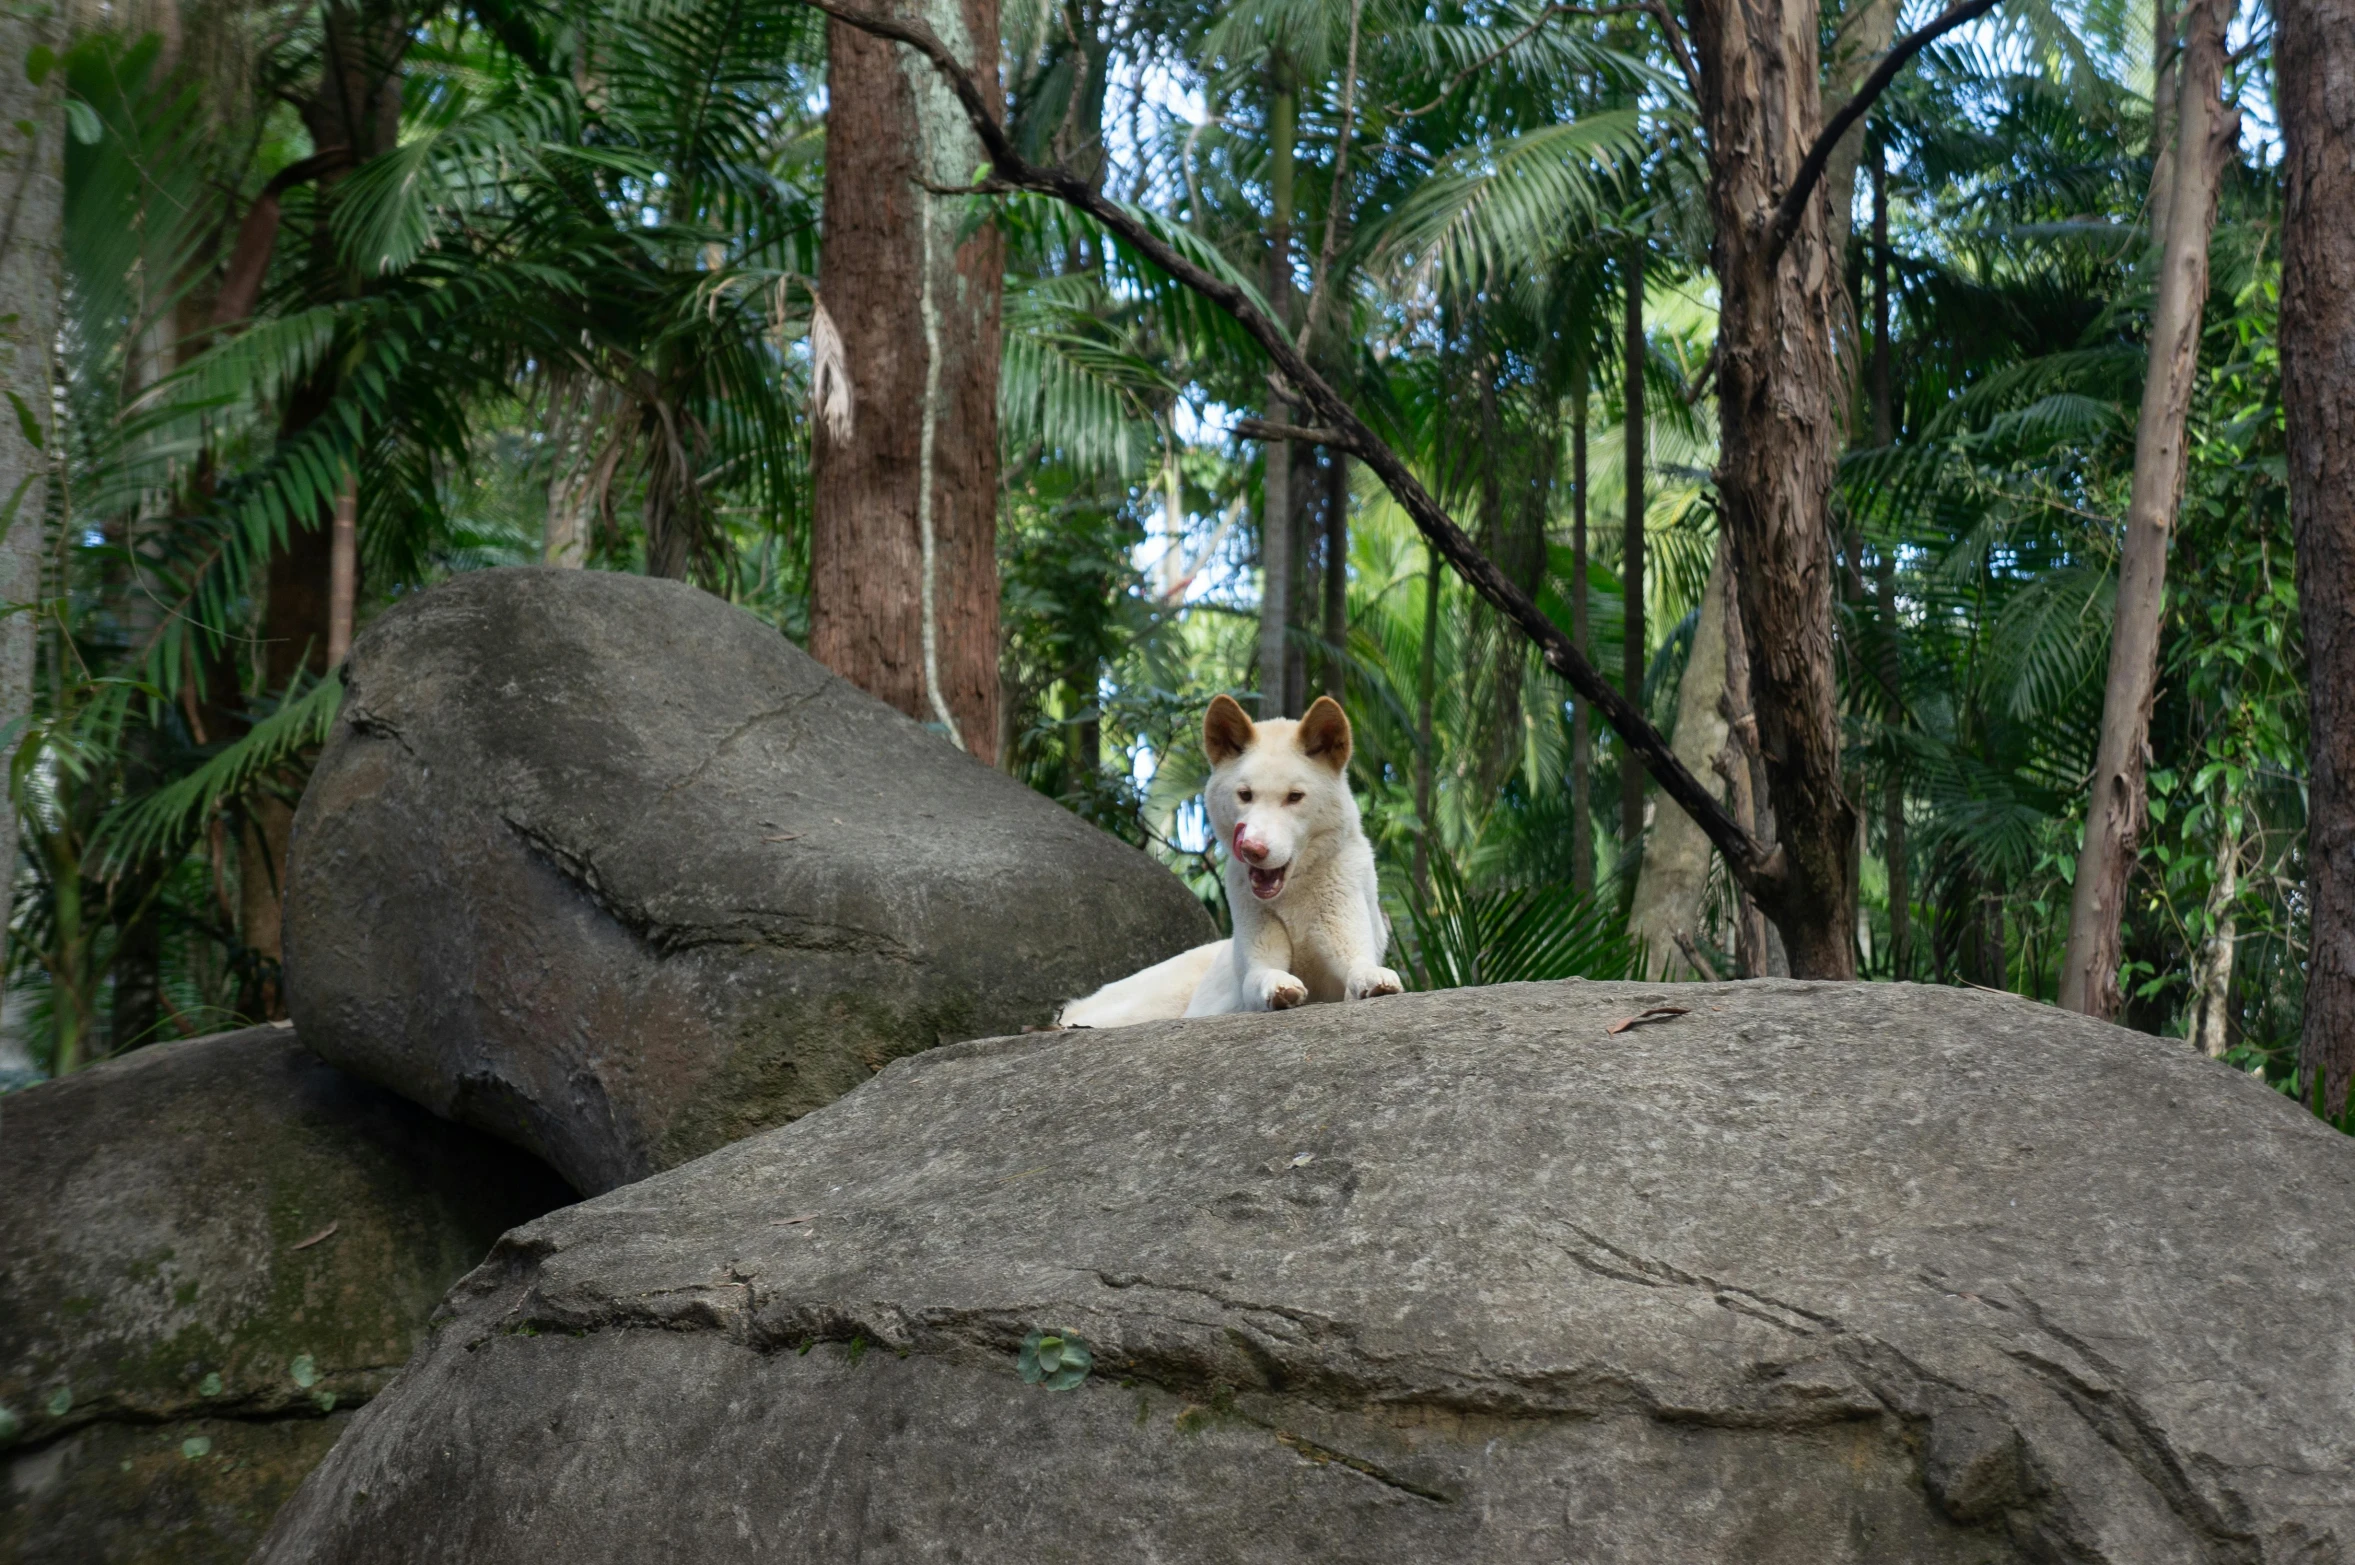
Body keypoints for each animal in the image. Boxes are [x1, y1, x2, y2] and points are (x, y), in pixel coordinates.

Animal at [1064, 696, 1394, 1026]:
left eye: (1295, 796)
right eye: (1245, 795)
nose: (1252, 849)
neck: (1293, 899)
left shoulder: (1347, 937)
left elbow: (1360, 966)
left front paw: (1375, 979)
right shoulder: (1256, 963)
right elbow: (1261, 975)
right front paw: (1279, 986)